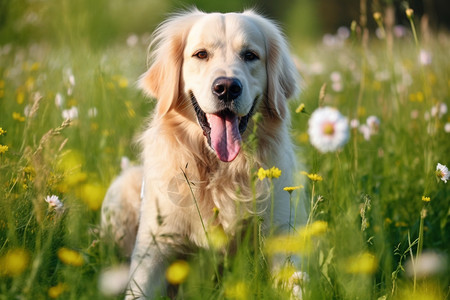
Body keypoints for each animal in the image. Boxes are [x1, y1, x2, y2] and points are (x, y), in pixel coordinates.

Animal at [101, 8, 306, 298]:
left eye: (250, 55)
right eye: (201, 54)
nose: (227, 87)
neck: (219, 170)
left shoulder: (281, 234)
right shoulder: (153, 249)